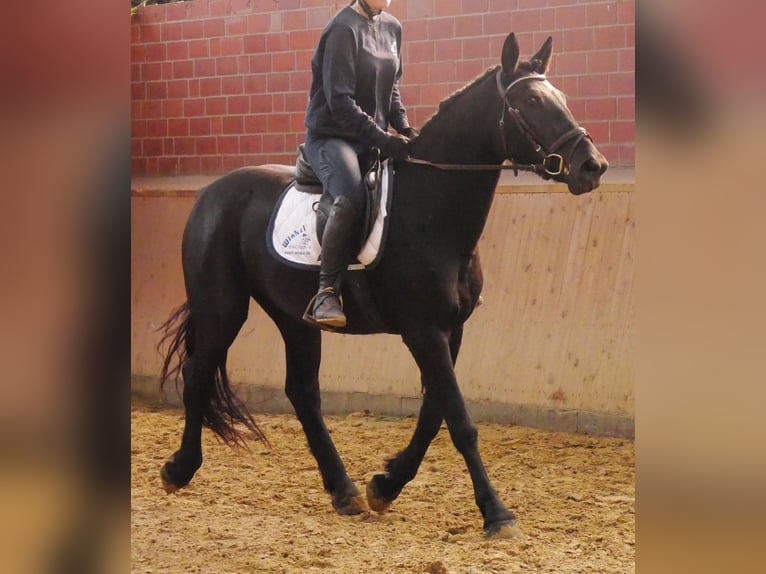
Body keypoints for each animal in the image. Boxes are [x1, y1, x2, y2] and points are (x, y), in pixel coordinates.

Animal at [157, 32, 608, 537]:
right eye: (529, 101)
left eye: (561, 97)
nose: (592, 166)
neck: (432, 210)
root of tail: (211, 193)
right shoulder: (423, 331)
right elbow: (460, 420)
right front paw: (496, 513)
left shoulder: (452, 330)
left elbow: (434, 415)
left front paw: (385, 485)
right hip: (222, 308)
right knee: (198, 372)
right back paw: (179, 469)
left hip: (295, 317)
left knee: (302, 393)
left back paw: (344, 490)